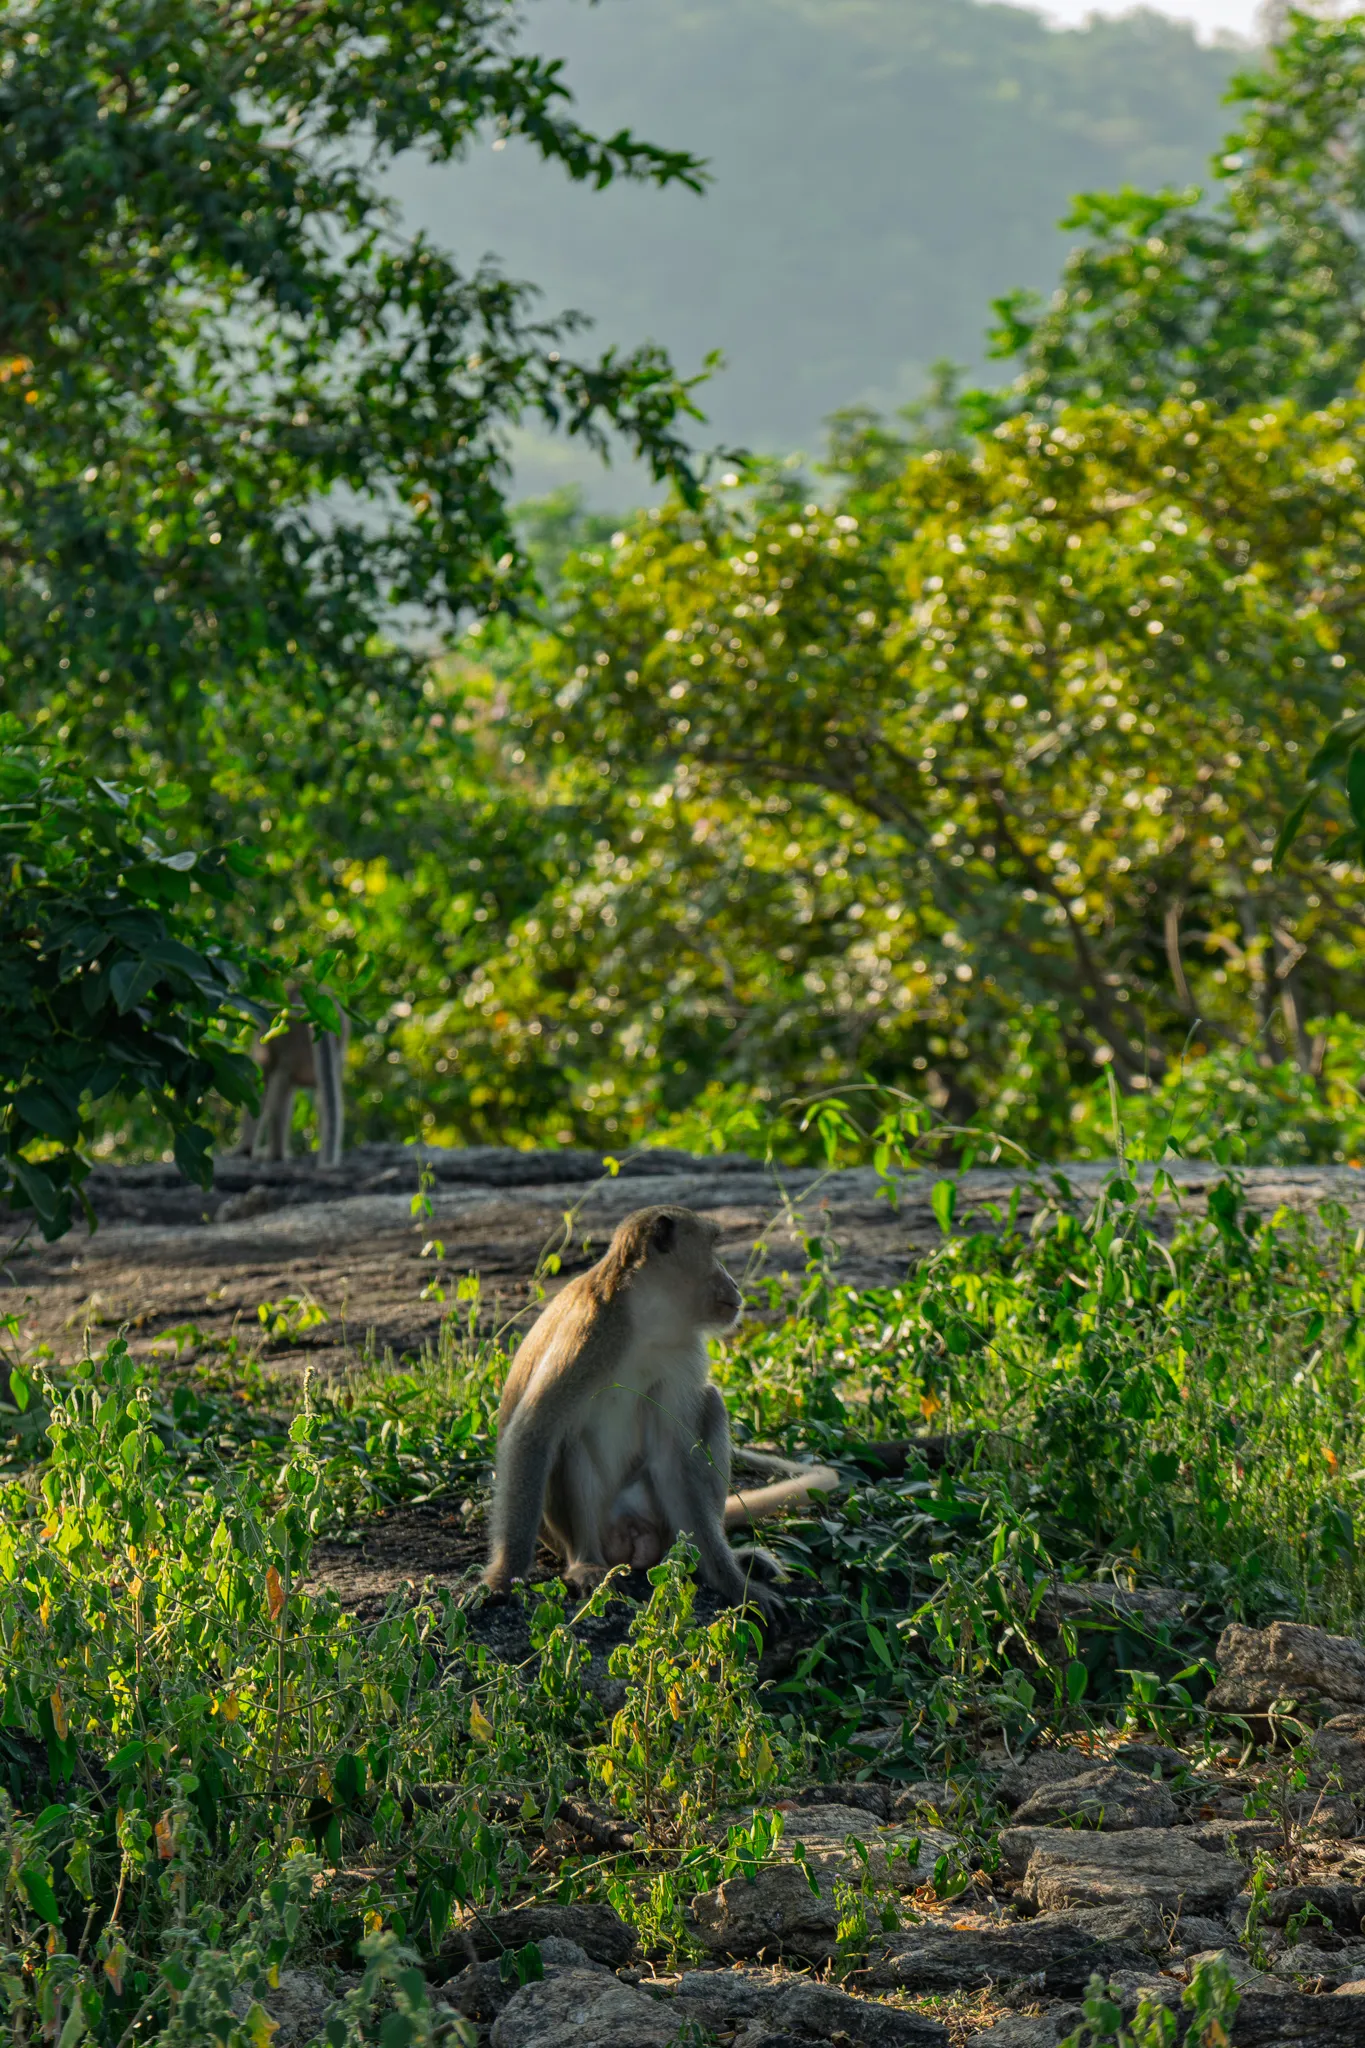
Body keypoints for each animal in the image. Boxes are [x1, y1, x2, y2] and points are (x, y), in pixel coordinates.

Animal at [481, 1205, 841, 1617]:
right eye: (713, 1248)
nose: (734, 1282)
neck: (645, 1322)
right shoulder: (589, 1335)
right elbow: (534, 1433)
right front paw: (502, 1578)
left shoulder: (683, 1354)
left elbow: (675, 1456)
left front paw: (734, 1584)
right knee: (571, 1441)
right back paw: (587, 1564)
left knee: (711, 1404)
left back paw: (700, 1561)